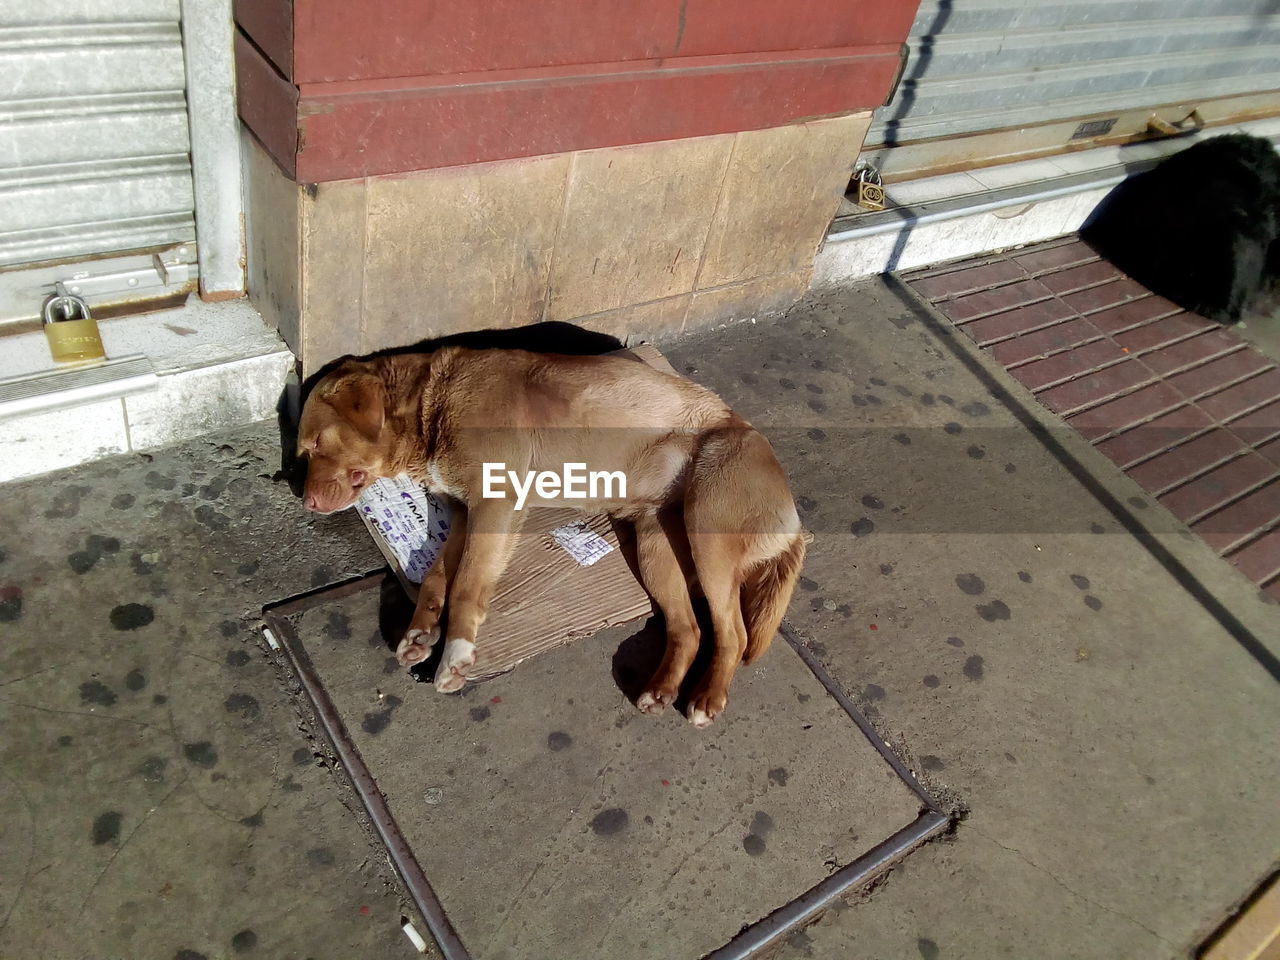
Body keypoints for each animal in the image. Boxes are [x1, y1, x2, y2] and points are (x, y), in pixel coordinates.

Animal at [295, 348, 803, 727]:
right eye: (305, 451)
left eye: (317, 444)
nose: (307, 503)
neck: (430, 400)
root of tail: (796, 523)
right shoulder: (463, 513)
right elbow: (438, 578)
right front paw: (421, 632)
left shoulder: (494, 503)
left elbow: (465, 587)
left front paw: (455, 654)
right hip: (655, 546)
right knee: (689, 629)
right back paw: (661, 690)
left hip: (707, 531)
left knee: (733, 632)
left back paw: (706, 699)